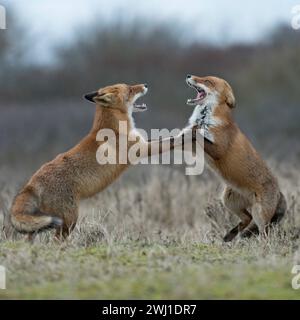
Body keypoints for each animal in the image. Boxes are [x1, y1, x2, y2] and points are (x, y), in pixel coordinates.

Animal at [185, 75, 286, 240]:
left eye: (207, 81)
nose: (189, 76)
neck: (208, 119)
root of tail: (279, 192)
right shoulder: (197, 149)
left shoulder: (219, 148)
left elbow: (200, 134)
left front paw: (193, 128)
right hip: (228, 200)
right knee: (247, 218)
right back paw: (230, 235)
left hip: (259, 214)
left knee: (263, 232)